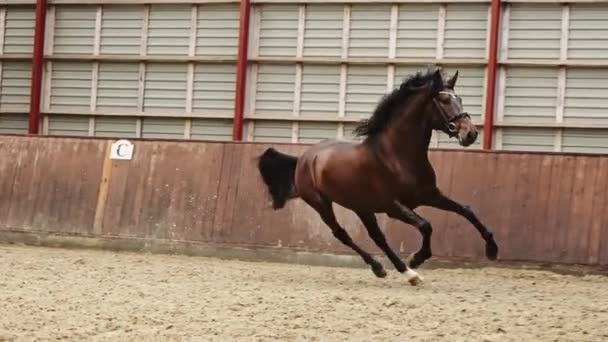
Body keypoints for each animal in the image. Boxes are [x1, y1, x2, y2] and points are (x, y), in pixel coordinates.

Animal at [256, 68, 498, 284]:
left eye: (460, 98)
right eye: (443, 99)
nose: (470, 134)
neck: (398, 156)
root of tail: (304, 159)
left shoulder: (430, 195)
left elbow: (466, 211)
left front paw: (492, 249)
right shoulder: (393, 206)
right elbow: (426, 225)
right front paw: (417, 258)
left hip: (361, 207)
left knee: (378, 237)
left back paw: (403, 273)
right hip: (321, 204)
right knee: (342, 234)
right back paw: (387, 268)